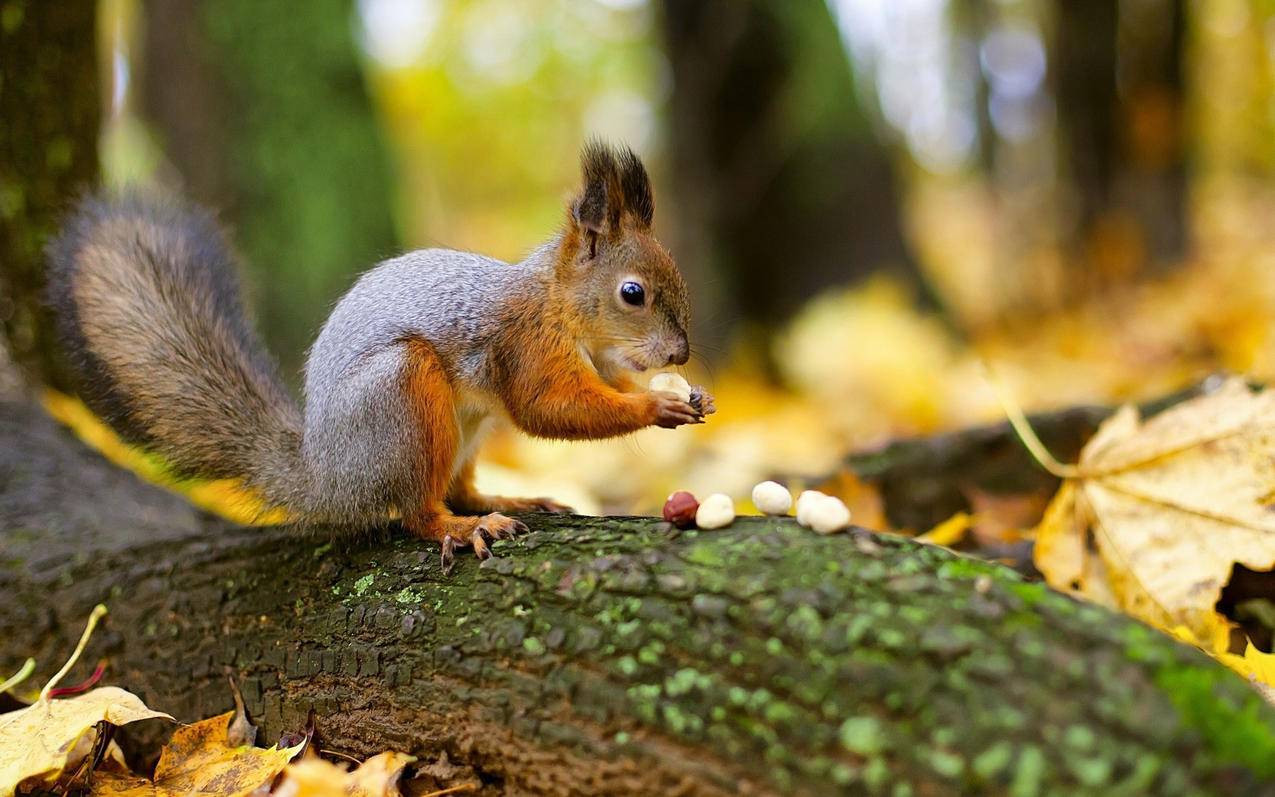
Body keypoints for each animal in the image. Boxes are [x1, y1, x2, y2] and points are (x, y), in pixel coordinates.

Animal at [44, 139, 714, 568]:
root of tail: (326, 479)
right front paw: (657, 407)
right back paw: (464, 526)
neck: (562, 308)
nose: (681, 353)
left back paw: (505, 500)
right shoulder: (526, 345)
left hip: (463, 429)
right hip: (403, 400)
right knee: (418, 510)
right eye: (633, 293)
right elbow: (549, 408)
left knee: (459, 487)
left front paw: (686, 397)